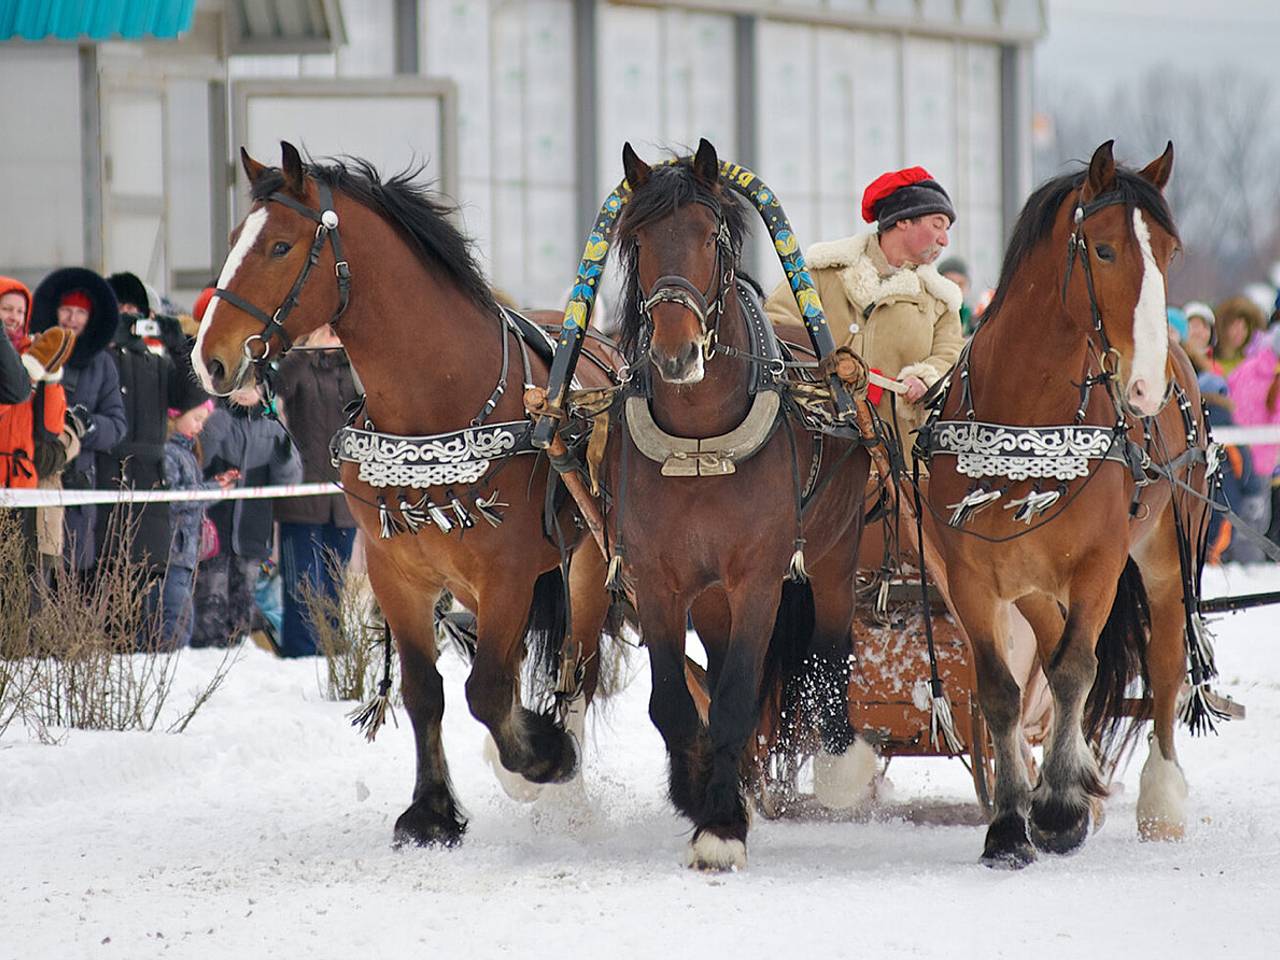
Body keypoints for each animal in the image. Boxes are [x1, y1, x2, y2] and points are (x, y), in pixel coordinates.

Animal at [190, 142, 624, 849]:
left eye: (280, 246)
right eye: (233, 241)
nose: (210, 359)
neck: (432, 411)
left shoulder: (507, 575)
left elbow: (488, 690)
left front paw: (541, 759)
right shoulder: (397, 573)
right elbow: (426, 692)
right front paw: (431, 812)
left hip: (586, 563)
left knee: (575, 670)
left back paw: (568, 787)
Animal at [606, 140, 870, 870]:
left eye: (709, 237)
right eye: (638, 238)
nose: (674, 354)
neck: (700, 440)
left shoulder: (758, 578)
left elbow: (732, 701)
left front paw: (721, 828)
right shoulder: (658, 579)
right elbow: (674, 703)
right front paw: (704, 796)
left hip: (834, 553)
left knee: (829, 650)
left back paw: (841, 766)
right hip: (713, 596)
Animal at [921, 138, 1208, 870]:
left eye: (1170, 252)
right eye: (1103, 250)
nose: (1146, 386)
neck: (1027, 422)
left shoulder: (1100, 564)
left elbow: (1078, 670)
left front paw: (1055, 811)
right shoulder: (972, 577)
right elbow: (1002, 690)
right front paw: (1009, 824)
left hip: (1163, 551)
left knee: (1162, 664)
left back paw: (1161, 798)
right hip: (1028, 579)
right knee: (1051, 655)